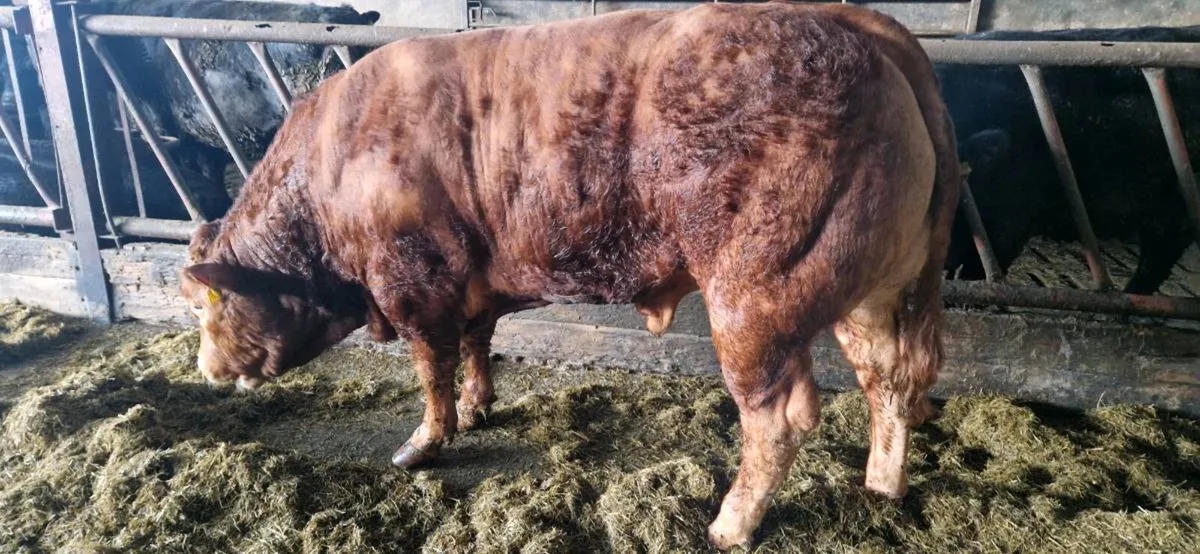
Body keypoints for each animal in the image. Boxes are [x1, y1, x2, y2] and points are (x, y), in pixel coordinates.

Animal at [178, 3, 960, 549]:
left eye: (207, 304)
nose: (207, 368)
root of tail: (856, 24)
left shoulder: (413, 286)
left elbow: (432, 370)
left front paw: (424, 444)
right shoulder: (473, 286)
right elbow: (478, 345)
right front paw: (480, 406)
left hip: (755, 303)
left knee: (779, 415)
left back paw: (729, 525)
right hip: (874, 293)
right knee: (889, 379)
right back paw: (882, 487)